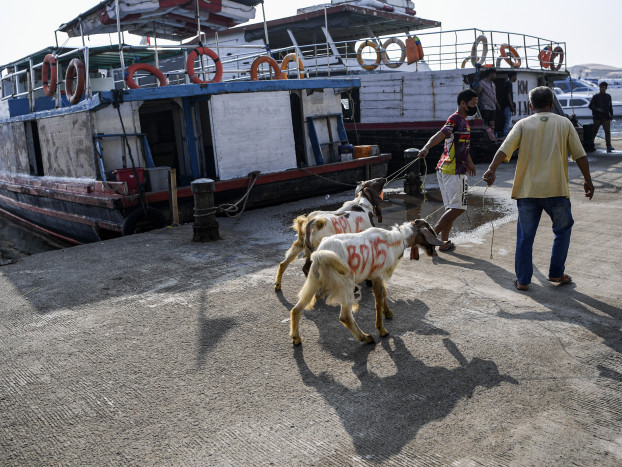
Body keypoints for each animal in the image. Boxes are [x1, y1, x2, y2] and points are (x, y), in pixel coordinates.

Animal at [290, 218, 446, 346]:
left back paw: (296, 338)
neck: (395, 240)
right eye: (430, 230)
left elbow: (384, 294)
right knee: (345, 316)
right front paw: (382, 330)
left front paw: (388, 312)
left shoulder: (377, 275)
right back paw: (365, 338)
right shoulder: (377, 274)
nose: (434, 252)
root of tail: (320, 254)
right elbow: (379, 298)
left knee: (297, 309)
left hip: (313, 280)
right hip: (345, 283)